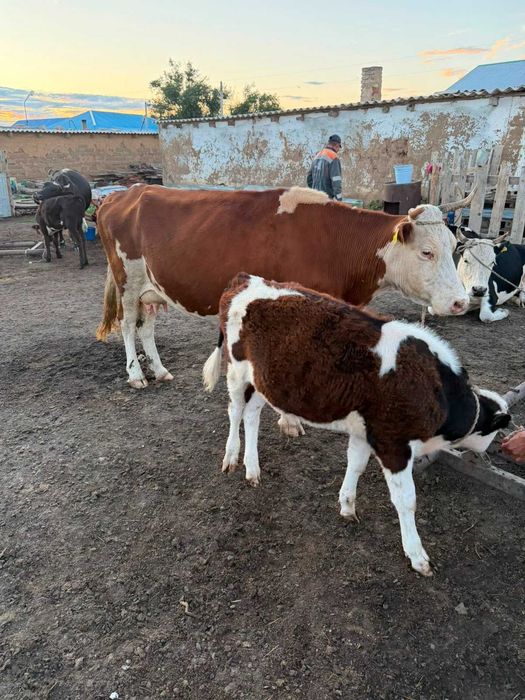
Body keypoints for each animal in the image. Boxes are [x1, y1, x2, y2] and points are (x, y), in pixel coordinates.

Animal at [96, 185, 472, 391]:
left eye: (454, 246)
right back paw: (136, 375)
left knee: (146, 328)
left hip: (152, 288)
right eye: (427, 252)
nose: (461, 302)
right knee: (128, 327)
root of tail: (122, 194)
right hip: (127, 280)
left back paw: (159, 371)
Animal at [203, 273, 510, 576]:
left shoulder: (365, 433)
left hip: (264, 381)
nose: (490, 454)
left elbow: (356, 465)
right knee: (235, 411)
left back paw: (252, 468)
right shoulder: (393, 444)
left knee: (252, 414)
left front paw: (347, 505)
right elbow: (406, 499)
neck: (436, 389)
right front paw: (417, 555)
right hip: (236, 371)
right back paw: (231, 458)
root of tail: (246, 278)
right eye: (495, 431)